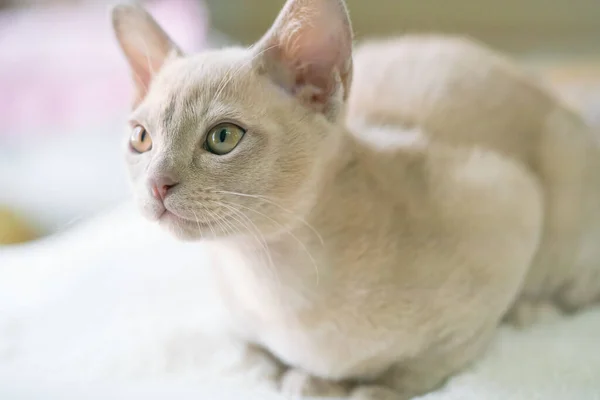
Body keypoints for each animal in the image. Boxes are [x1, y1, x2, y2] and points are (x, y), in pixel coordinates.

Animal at [111, 0, 600, 396]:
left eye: (222, 138)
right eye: (141, 139)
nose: (157, 183)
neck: (270, 278)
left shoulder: (507, 200)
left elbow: (427, 364)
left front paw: (360, 387)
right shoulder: (238, 324)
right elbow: (255, 357)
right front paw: (301, 378)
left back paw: (533, 310)